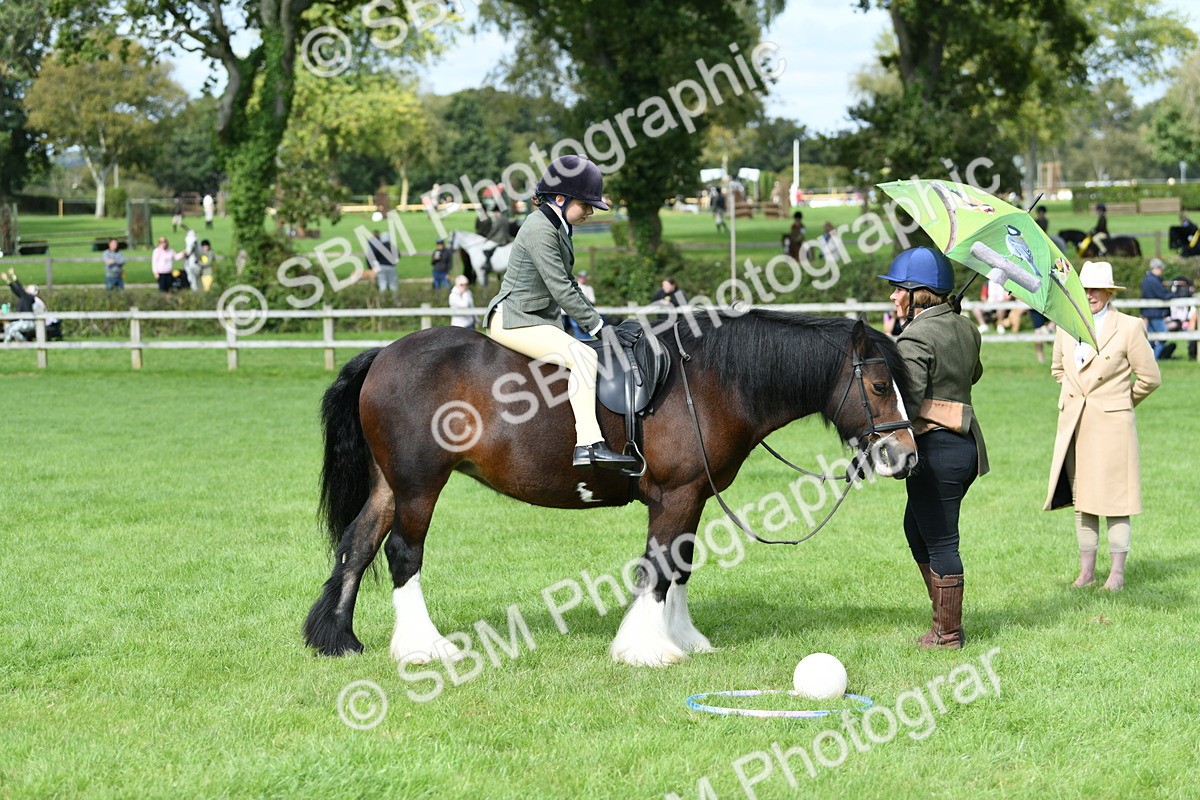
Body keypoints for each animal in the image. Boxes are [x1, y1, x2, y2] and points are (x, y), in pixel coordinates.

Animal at [302, 310, 919, 667]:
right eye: (879, 385)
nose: (906, 456)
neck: (708, 382)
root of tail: (384, 354)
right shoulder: (676, 495)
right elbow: (658, 567)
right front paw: (645, 648)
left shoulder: (693, 497)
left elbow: (680, 567)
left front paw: (682, 639)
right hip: (419, 486)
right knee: (403, 554)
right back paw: (424, 647)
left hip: (390, 485)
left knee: (358, 544)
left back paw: (338, 638)